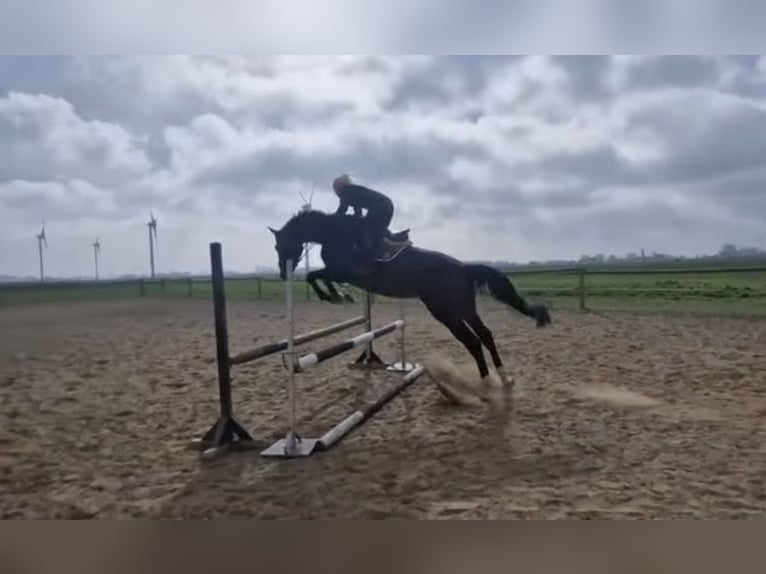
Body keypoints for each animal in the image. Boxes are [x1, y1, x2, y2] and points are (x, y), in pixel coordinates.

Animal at [268, 209, 551, 386]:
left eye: (279, 245)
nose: (282, 273)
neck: (335, 233)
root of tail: (463, 268)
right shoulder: (341, 272)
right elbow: (318, 276)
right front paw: (339, 295)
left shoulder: (344, 271)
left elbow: (313, 275)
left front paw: (336, 296)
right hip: (463, 308)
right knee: (485, 334)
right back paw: (503, 378)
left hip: (445, 311)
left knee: (471, 341)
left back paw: (485, 384)